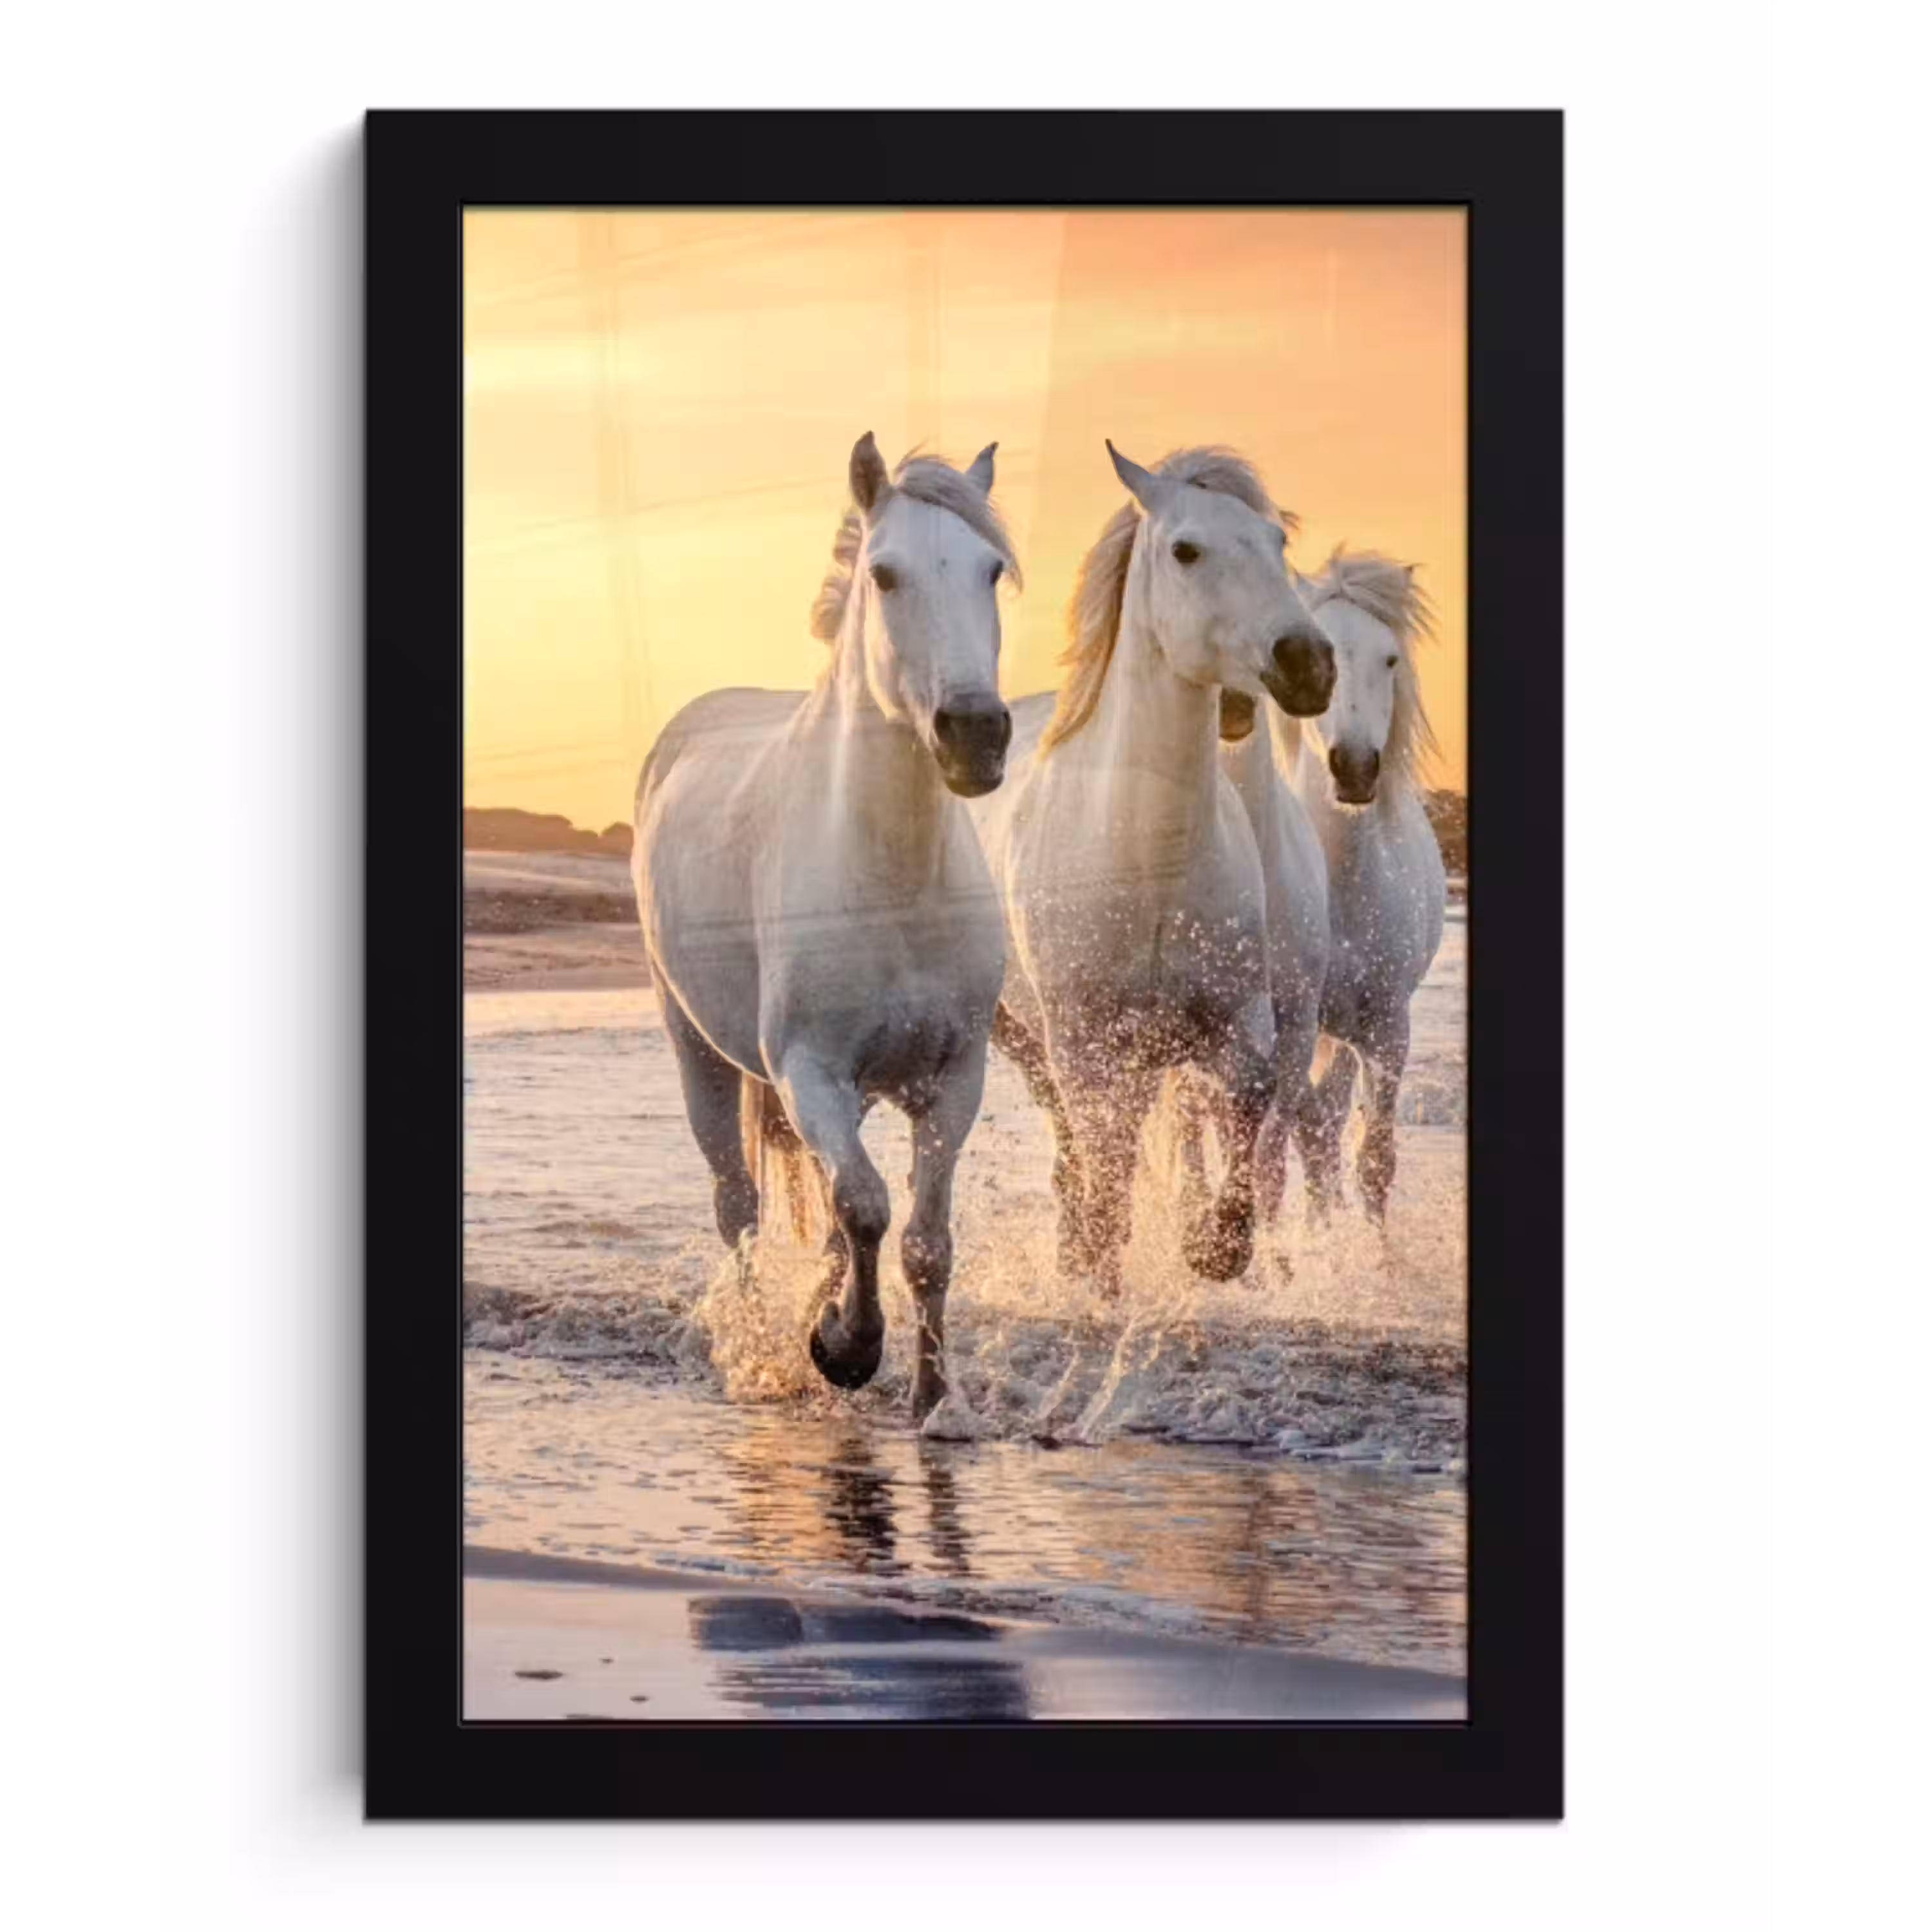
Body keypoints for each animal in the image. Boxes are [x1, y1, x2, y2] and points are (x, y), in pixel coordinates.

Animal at [632, 434, 1019, 1418]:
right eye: (885, 574)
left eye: (992, 570)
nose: (975, 734)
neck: (892, 880)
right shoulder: (808, 1072)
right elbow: (868, 1208)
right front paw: (845, 1348)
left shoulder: (954, 1079)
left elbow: (922, 1240)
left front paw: (933, 1398)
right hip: (698, 1051)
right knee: (738, 1205)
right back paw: (760, 1347)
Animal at [967, 443, 1336, 1296]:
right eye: (1186, 550)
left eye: (1278, 543)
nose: (1307, 663)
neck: (1147, 862)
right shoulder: (1084, 1042)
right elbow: (1105, 1160)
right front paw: (1101, 1266)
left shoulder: (1241, 1020)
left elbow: (1250, 1104)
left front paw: (1215, 1248)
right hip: (1027, 1036)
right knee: (1077, 1142)